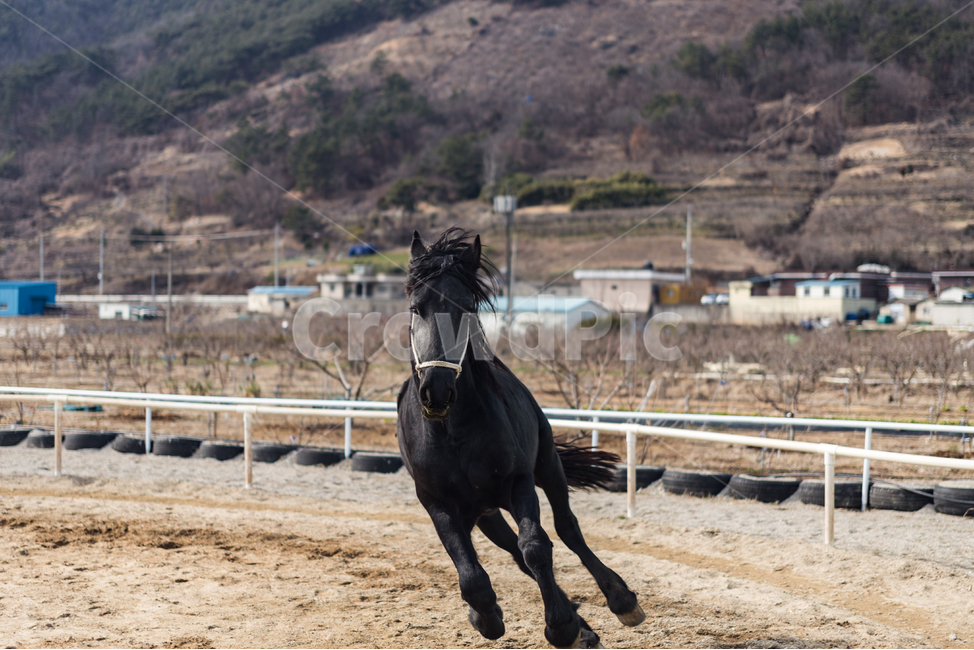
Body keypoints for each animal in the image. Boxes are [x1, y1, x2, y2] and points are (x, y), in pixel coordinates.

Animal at [396, 228, 646, 648]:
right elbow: (472, 576)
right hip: (485, 512)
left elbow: (537, 547)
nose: (437, 392)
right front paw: (486, 618)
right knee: (510, 549)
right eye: (417, 308)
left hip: (547, 465)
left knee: (567, 529)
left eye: (466, 307)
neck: (453, 434)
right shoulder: (437, 502)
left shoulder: (518, 482)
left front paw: (561, 626)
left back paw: (620, 600)